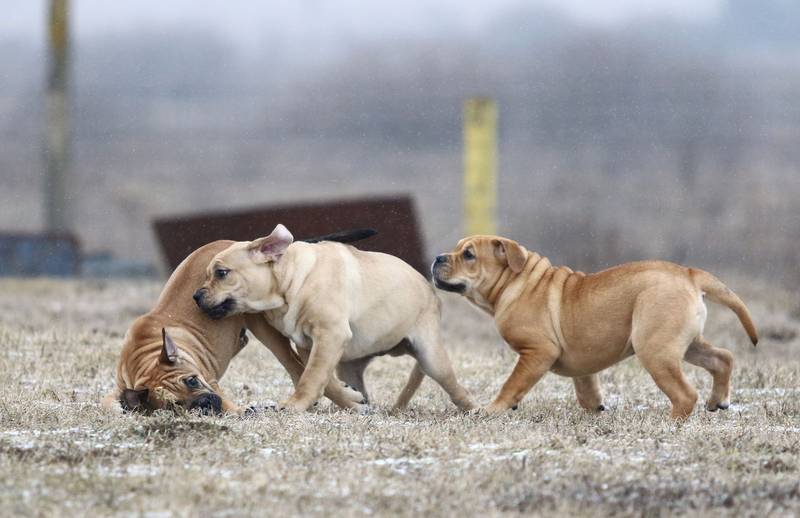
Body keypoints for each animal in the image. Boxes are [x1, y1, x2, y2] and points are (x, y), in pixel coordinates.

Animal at [102, 231, 376, 414]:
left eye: (191, 380)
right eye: (175, 405)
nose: (205, 403)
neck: (143, 357)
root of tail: (242, 243)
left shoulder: (209, 381)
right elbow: (109, 404)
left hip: (264, 328)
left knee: (297, 365)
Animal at [193, 224, 475, 412]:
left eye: (221, 273)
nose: (196, 295)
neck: (292, 279)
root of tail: (431, 289)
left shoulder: (329, 336)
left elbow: (311, 378)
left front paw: (295, 404)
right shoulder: (309, 345)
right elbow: (321, 379)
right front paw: (350, 399)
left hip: (431, 358)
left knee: (455, 388)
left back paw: (474, 410)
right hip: (349, 365)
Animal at [431, 235, 758, 419]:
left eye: (468, 254)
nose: (437, 257)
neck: (515, 281)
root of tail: (689, 273)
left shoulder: (537, 351)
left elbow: (512, 384)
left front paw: (492, 410)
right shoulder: (581, 363)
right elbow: (586, 389)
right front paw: (596, 409)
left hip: (656, 350)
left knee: (685, 394)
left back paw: (672, 423)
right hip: (686, 344)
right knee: (723, 357)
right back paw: (718, 401)